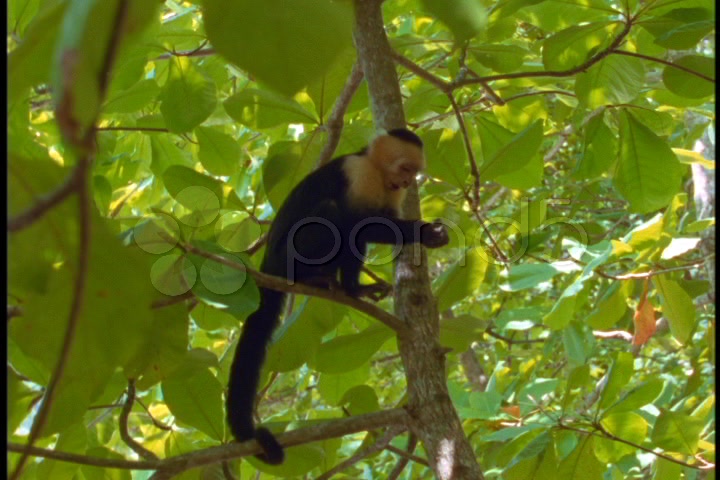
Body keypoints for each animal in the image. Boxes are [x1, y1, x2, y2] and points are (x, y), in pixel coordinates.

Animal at [226, 128, 449, 464]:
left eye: (413, 173)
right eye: (405, 168)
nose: (407, 183)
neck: (377, 170)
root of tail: (268, 266)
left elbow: (377, 223)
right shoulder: (359, 173)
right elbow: (357, 222)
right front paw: (425, 232)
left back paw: (337, 286)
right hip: (288, 256)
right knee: (331, 214)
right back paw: (324, 282)